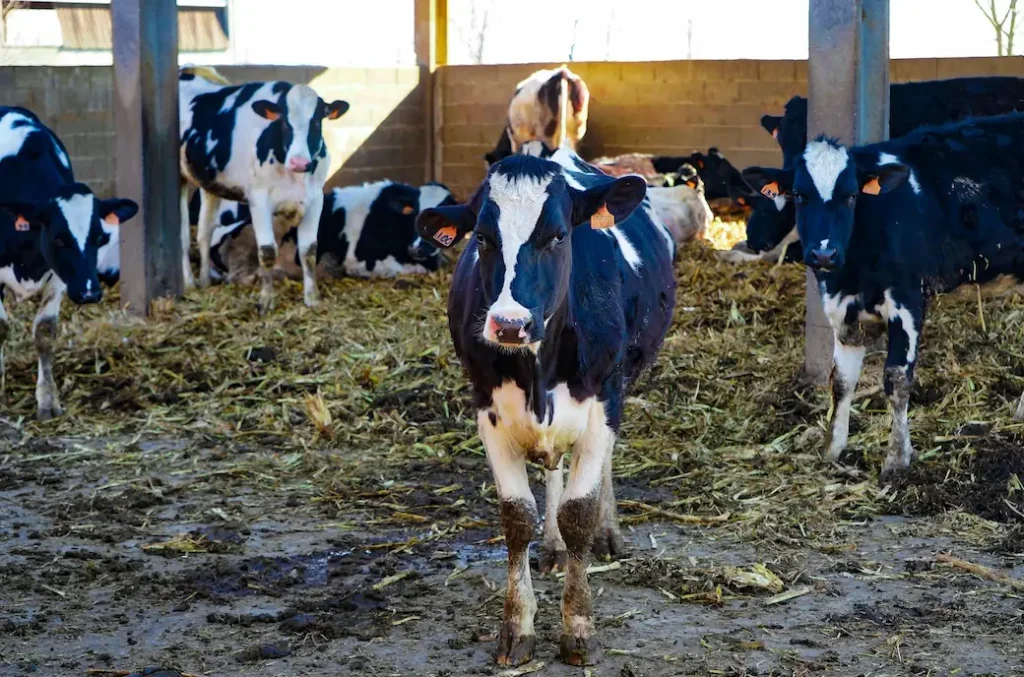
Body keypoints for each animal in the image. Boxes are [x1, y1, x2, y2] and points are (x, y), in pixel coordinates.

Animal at [0, 104, 137, 417]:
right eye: (58, 239)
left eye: (99, 237)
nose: (89, 292)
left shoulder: (59, 276)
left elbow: (44, 331)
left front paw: (48, 400)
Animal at [176, 64, 348, 313]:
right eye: (284, 122)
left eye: (317, 121)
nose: (299, 162)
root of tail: (188, 69)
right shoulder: (259, 199)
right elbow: (267, 251)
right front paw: (266, 300)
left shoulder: (315, 199)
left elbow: (309, 250)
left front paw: (312, 297)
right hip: (178, 177)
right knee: (181, 236)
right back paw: (189, 283)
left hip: (211, 184)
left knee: (204, 233)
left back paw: (205, 280)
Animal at [415, 149, 671, 663]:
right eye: (482, 237)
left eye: (557, 235)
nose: (510, 324)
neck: (537, 367)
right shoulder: (487, 410)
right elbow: (517, 518)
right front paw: (517, 627)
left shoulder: (603, 401)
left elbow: (579, 513)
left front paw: (578, 627)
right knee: (553, 471)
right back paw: (552, 546)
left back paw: (607, 533)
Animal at [741, 112, 1024, 481]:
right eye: (800, 195)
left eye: (851, 195)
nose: (823, 254)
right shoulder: (843, 309)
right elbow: (841, 380)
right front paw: (832, 450)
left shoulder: (908, 302)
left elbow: (896, 378)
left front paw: (897, 459)